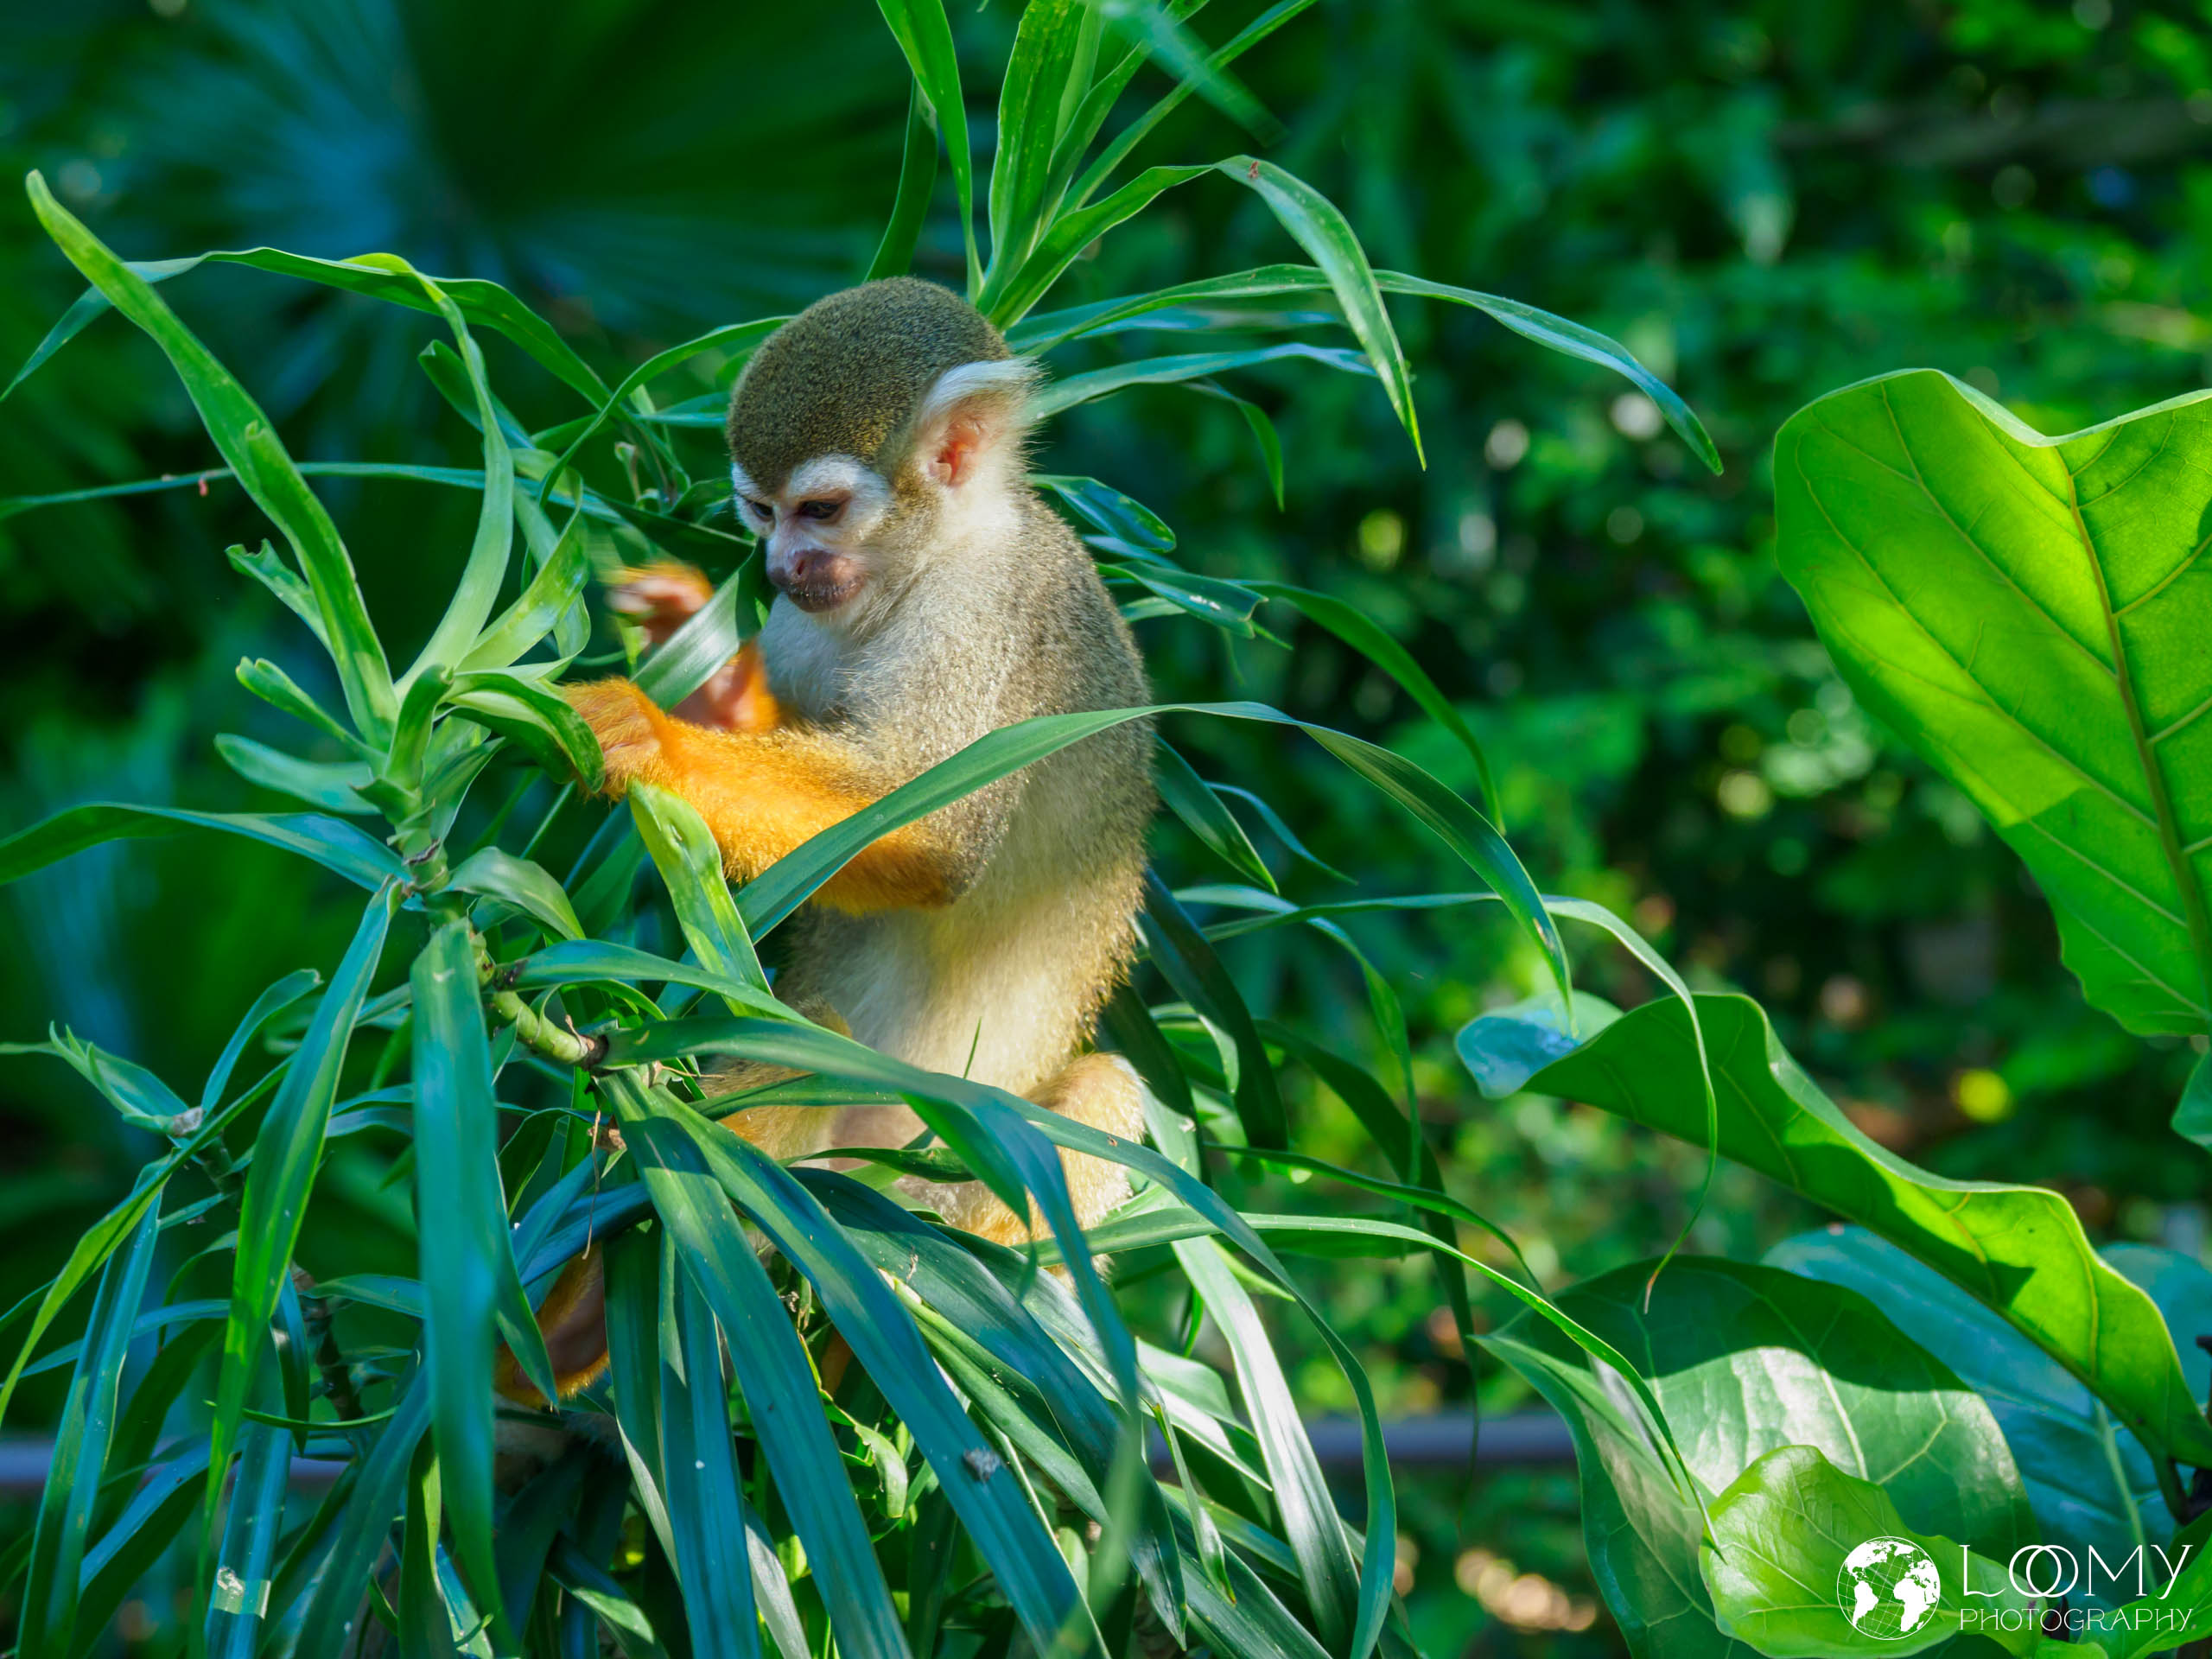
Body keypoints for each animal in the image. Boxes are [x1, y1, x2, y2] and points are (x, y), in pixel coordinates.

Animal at [498, 279, 1157, 1406]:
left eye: (820, 511)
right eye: (759, 513)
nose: (776, 565)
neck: (928, 562)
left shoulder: (985, 618)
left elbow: (933, 838)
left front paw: (652, 734)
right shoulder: (803, 626)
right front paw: (710, 690)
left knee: (1098, 1092)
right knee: (807, 1043)